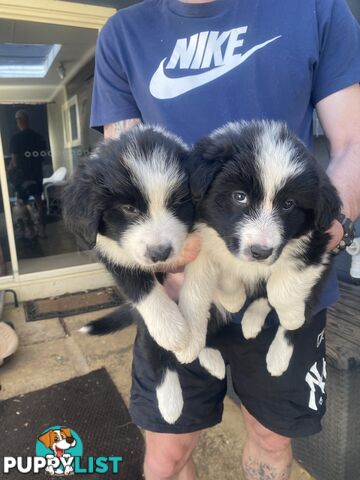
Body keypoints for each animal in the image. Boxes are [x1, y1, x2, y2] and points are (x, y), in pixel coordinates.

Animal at [63, 124, 224, 424]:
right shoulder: (113, 253)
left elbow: (197, 287)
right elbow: (140, 287)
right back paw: (170, 403)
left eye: (178, 202)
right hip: (143, 324)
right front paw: (173, 330)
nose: (160, 253)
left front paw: (192, 335)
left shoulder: (205, 243)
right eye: (129, 208)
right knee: (154, 350)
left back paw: (206, 355)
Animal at [179, 119, 342, 376]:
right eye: (239, 196)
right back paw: (213, 356)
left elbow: (280, 288)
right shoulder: (201, 241)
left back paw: (277, 354)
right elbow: (204, 287)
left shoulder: (317, 244)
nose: (260, 252)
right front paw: (232, 300)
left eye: (288, 204)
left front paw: (291, 316)